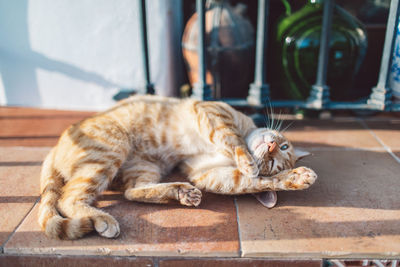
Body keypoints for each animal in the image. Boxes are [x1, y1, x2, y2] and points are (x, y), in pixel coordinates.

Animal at [39, 94, 318, 241]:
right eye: (283, 147)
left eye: (273, 163)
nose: (271, 147)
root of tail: (54, 146)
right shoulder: (214, 111)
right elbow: (233, 140)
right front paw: (248, 160)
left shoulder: (209, 174)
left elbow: (253, 181)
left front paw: (295, 177)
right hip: (112, 147)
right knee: (68, 198)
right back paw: (102, 219)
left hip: (143, 166)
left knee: (130, 191)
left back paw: (182, 192)